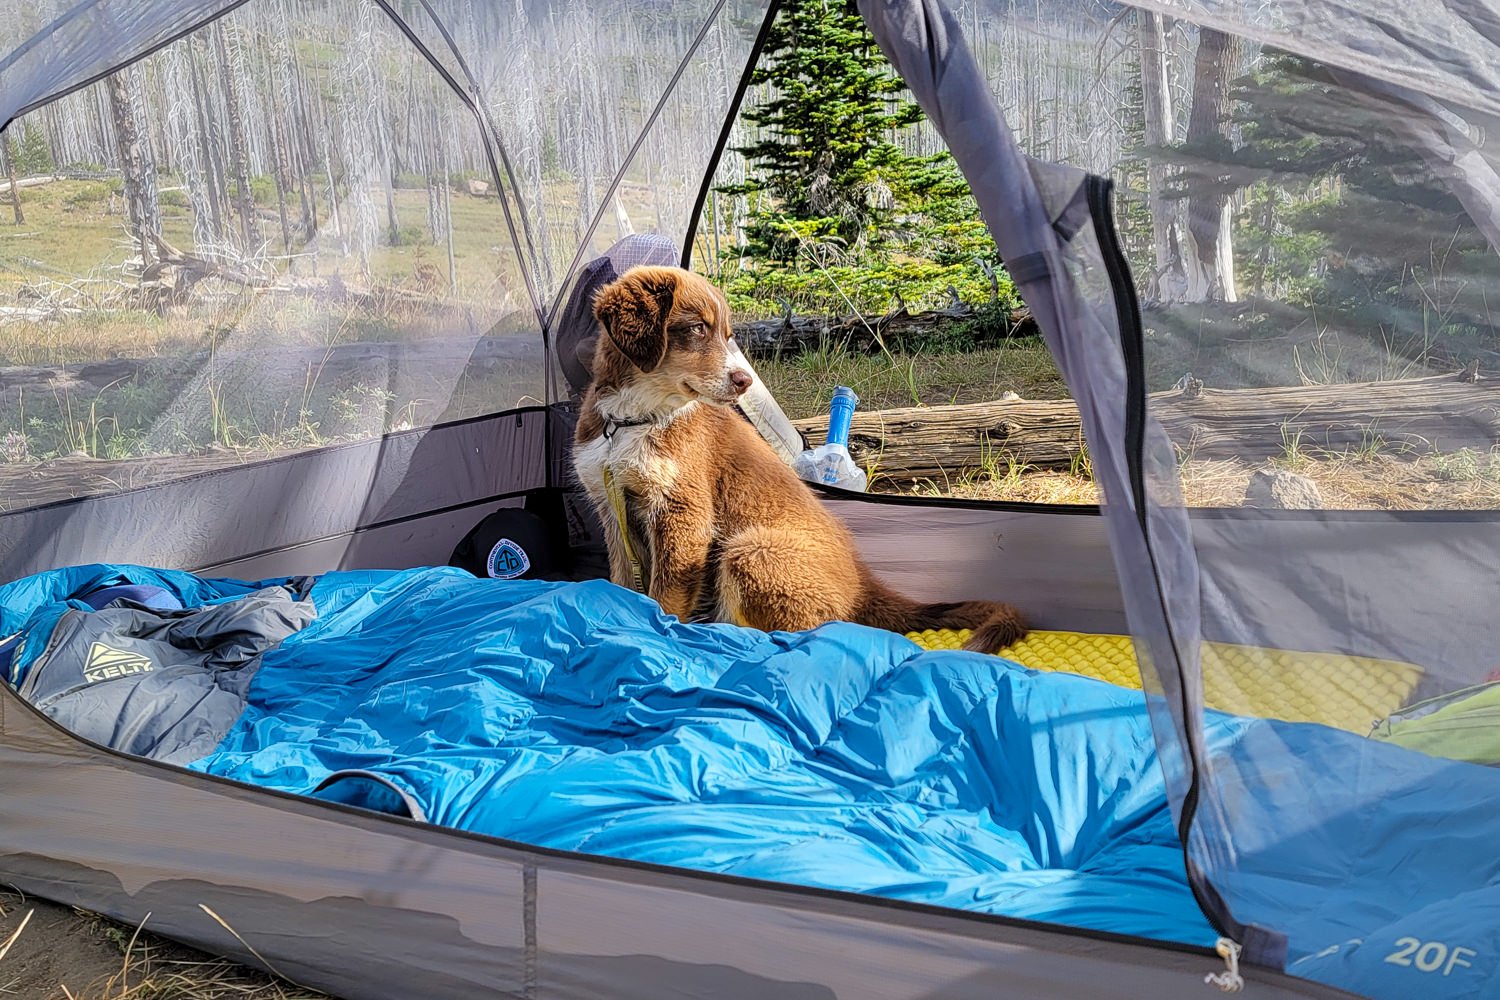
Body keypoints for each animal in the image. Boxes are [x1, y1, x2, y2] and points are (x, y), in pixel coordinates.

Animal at [567, 265, 1026, 653]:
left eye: (728, 333)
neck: (632, 420)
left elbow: (665, 598)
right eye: (697, 328)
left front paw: (654, 634)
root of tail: (862, 586)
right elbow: (622, 579)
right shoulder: (610, 507)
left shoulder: (683, 514)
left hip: (750, 548)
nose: (744, 381)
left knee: (806, 631)